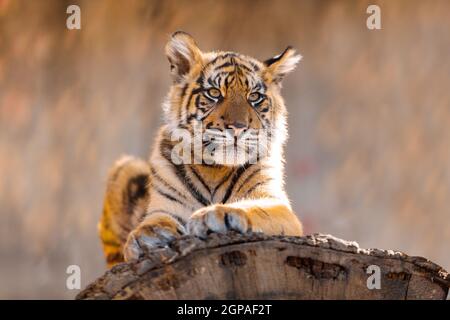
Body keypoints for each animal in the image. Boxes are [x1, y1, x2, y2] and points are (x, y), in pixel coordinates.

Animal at [98, 31, 302, 268]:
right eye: (214, 93)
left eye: (254, 97)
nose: (238, 127)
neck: (214, 169)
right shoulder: (164, 206)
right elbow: (154, 220)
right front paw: (148, 234)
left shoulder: (277, 204)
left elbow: (255, 208)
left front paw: (219, 214)